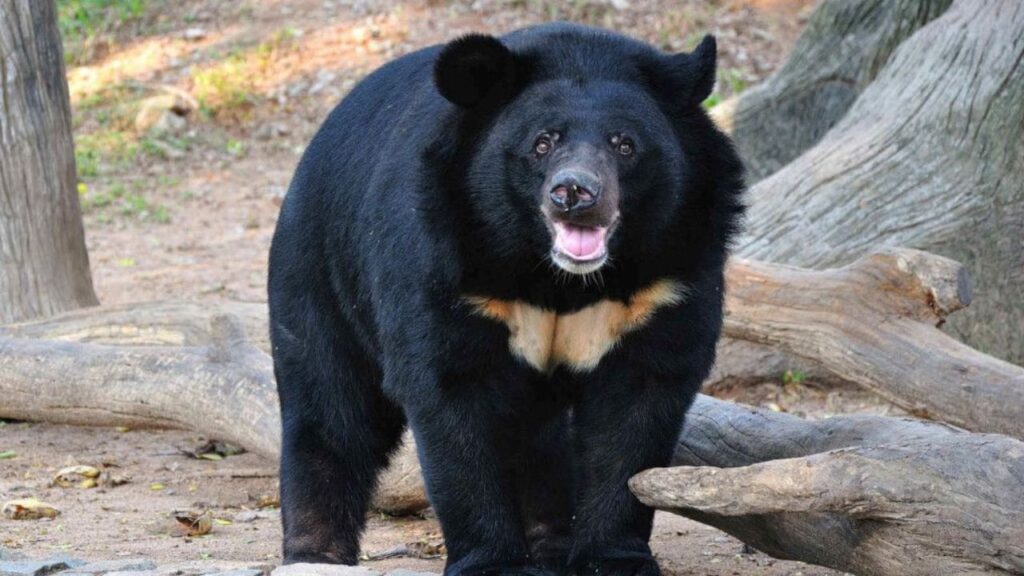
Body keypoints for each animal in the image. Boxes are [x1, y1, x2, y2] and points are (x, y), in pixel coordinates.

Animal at [268, 22, 745, 576]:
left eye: (624, 144)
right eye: (542, 142)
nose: (574, 193)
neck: (560, 279)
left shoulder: (667, 280)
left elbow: (636, 411)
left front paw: (614, 558)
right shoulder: (443, 262)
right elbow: (451, 397)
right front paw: (492, 561)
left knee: (540, 440)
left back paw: (551, 544)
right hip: (319, 269)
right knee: (331, 405)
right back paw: (315, 553)